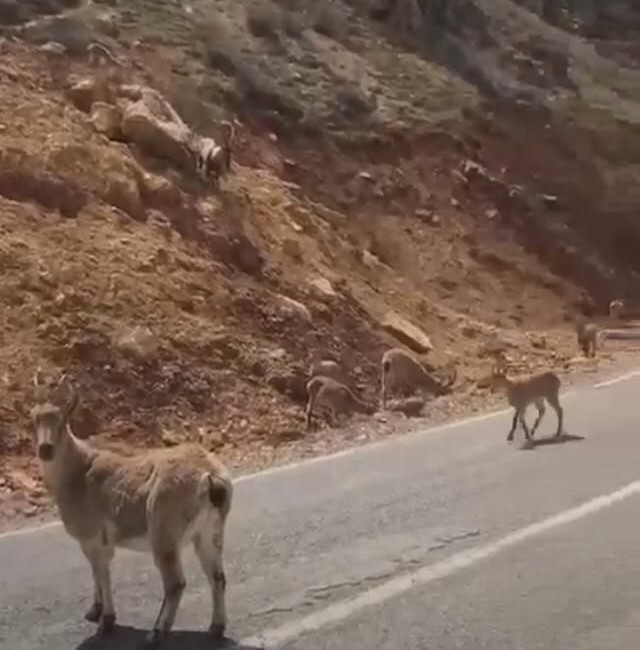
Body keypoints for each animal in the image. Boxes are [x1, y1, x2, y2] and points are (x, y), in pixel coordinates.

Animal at [30, 370, 234, 644]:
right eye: (33, 419)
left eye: (62, 421)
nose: (45, 449)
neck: (76, 473)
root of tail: (210, 477)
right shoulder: (93, 542)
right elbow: (95, 571)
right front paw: (94, 611)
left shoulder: (94, 537)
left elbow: (102, 573)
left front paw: (106, 620)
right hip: (209, 531)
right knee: (217, 576)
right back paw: (216, 627)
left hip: (164, 532)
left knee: (175, 583)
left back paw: (157, 632)